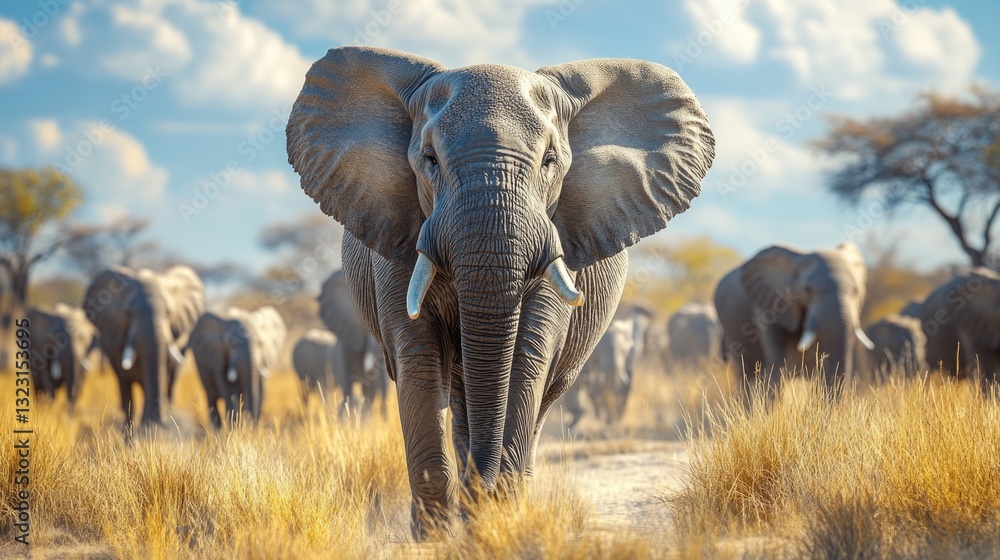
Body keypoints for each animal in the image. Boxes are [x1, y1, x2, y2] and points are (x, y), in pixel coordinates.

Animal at [82, 266, 205, 428]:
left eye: (169, 313)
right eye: (129, 313)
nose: (160, 421)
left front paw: (151, 426)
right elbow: (125, 383)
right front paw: (134, 430)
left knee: (171, 381)